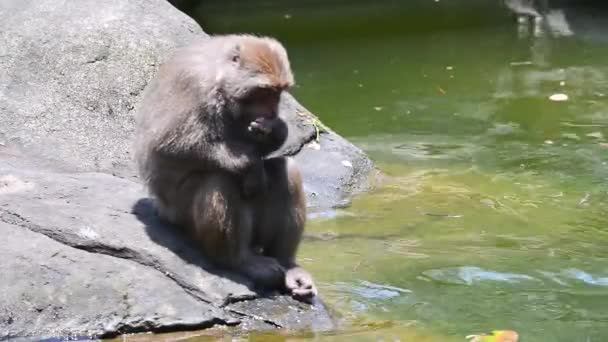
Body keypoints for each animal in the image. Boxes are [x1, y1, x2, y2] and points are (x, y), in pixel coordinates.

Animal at [135, 34, 318, 300]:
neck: (221, 79)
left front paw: (274, 131)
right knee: (219, 180)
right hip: (180, 215)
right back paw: (238, 261)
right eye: (264, 91)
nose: (272, 110)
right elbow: (167, 144)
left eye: (278, 92)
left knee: (286, 170)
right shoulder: (193, 84)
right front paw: (249, 164)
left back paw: (288, 265)